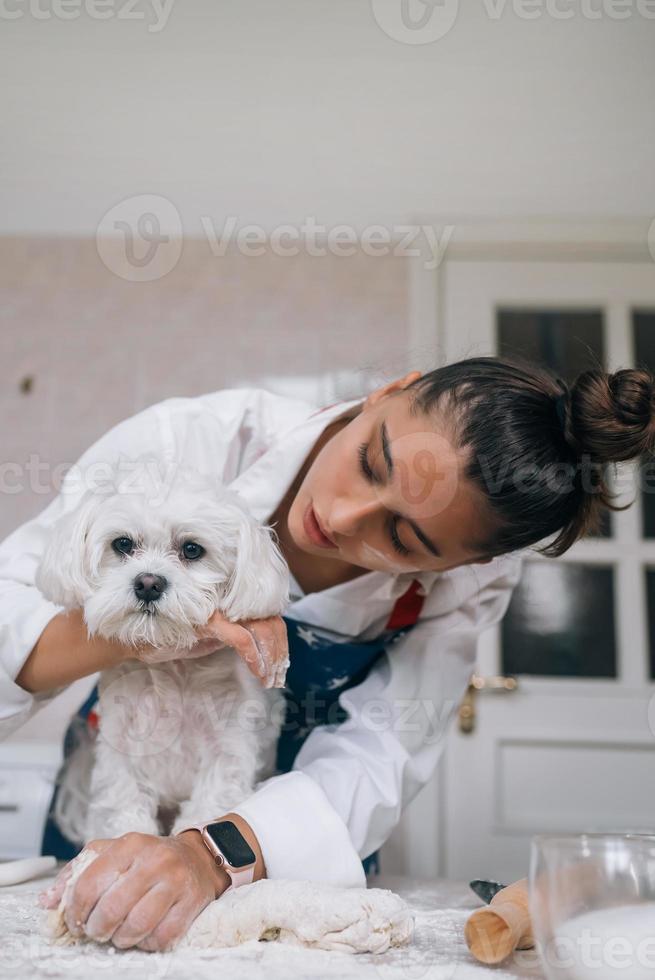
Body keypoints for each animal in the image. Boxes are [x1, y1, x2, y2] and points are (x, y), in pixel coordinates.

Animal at [36, 458, 290, 844]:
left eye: (192, 549)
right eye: (123, 544)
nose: (148, 583)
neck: (174, 669)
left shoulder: (227, 749)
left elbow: (207, 806)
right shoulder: (121, 751)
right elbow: (126, 811)